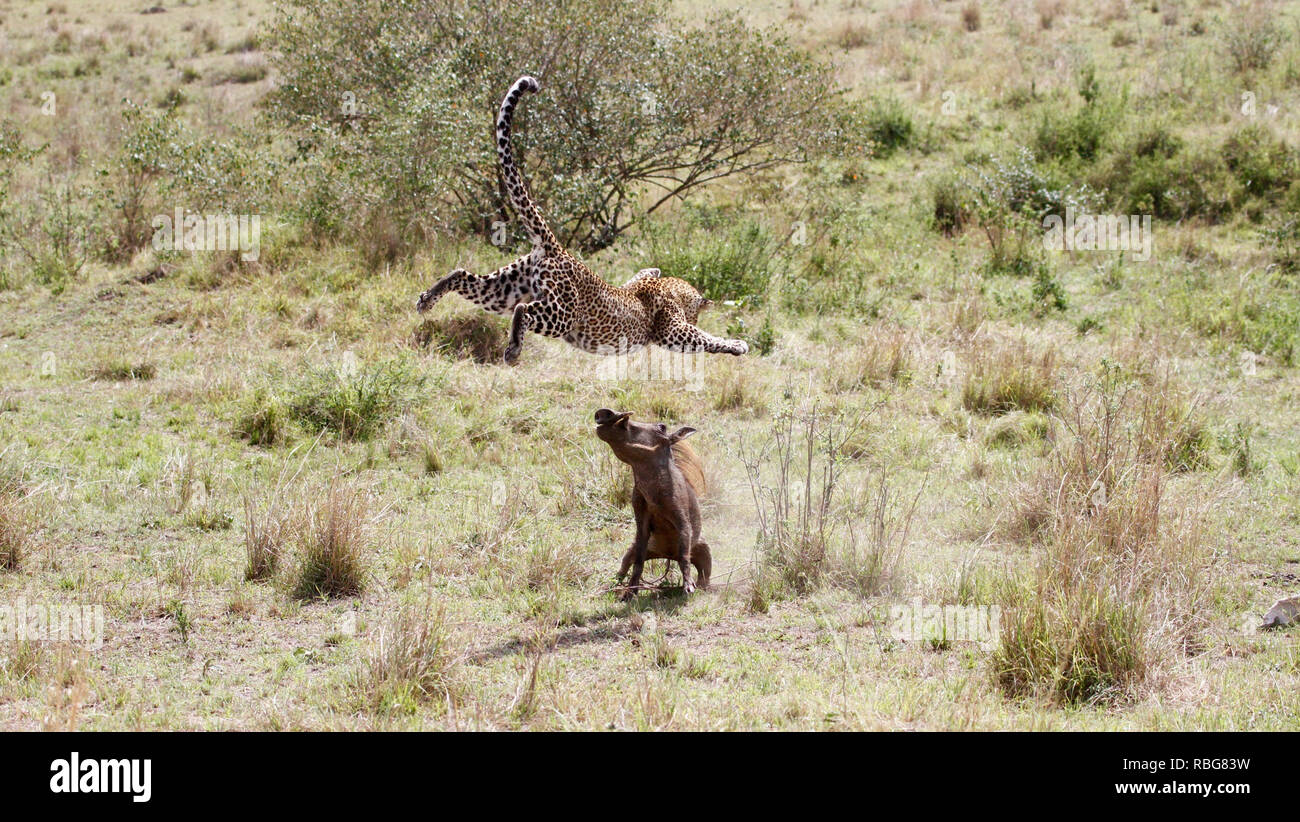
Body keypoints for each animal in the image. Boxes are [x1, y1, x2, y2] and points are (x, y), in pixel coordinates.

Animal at [410, 76, 748, 366]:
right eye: (696, 316)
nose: (697, 316)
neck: (669, 288)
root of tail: (558, 249)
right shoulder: (672, 331)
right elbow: (705, 338)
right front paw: (737, 345)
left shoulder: (643, 278)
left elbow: (648, 271)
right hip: (560, 314)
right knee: (523, 311)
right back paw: (513, 350)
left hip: (504, 288)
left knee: (462, 274)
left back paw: (426, 299)